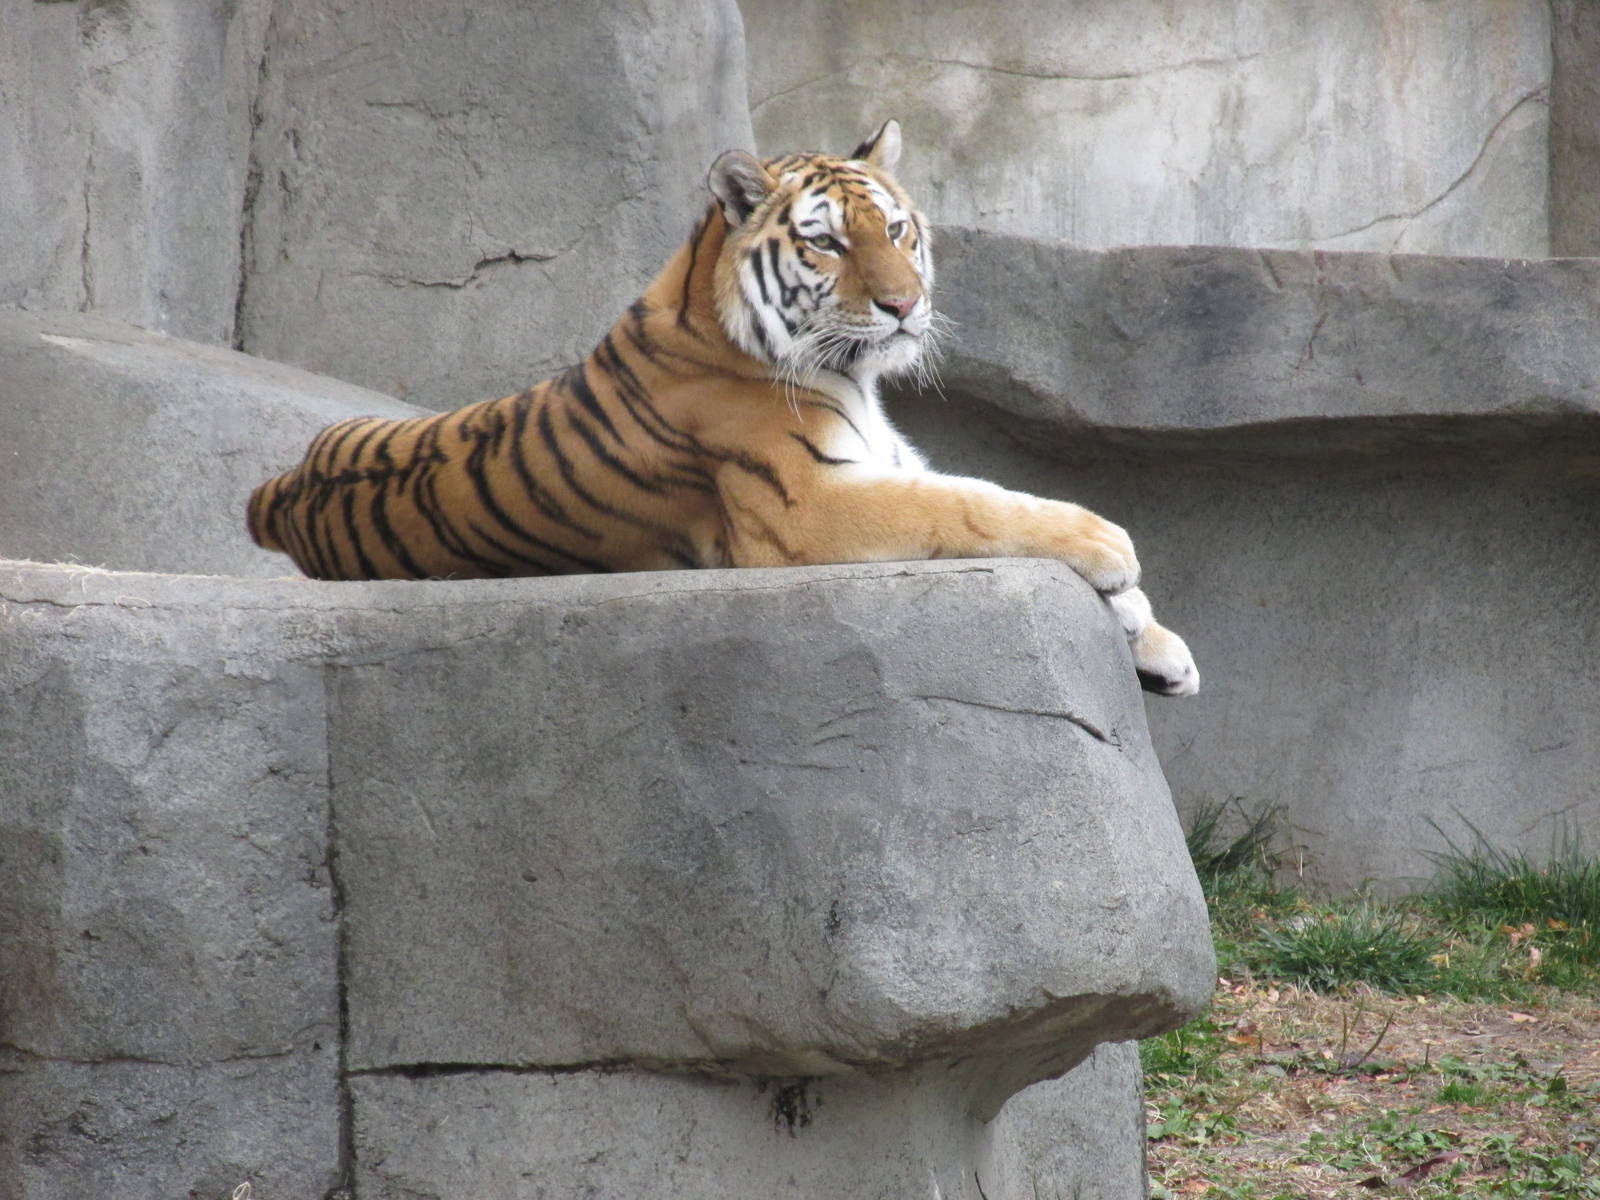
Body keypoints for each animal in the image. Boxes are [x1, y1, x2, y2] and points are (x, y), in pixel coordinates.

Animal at [247, 120, 1199, 696]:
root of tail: (282, 492)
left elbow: (980, 495)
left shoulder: (885, 463)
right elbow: (971, 505)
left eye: (895, 230)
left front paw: (1159, 647)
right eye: (827, 241)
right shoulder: (803, 507)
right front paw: (1107, 546)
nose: (905, 306)